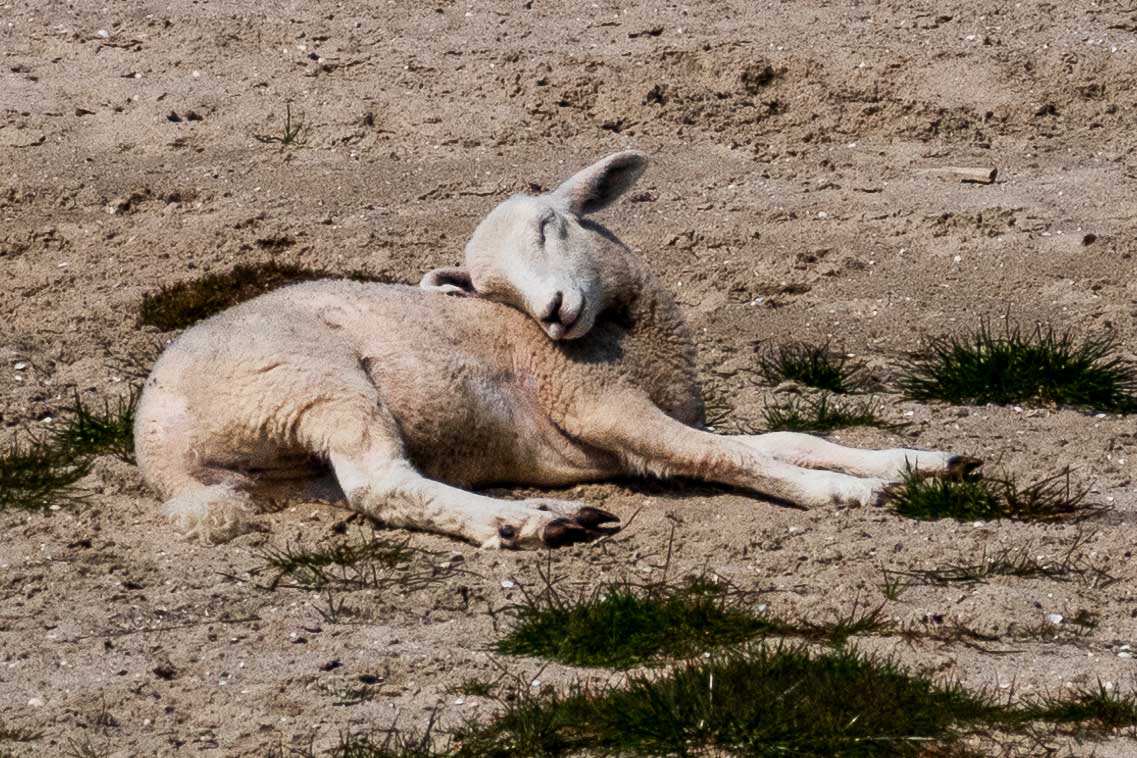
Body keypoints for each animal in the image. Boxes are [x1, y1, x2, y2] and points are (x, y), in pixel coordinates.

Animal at [134, 151, 980, 548]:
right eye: (492, 289)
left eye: (550, 224)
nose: (552, 312)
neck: (629, 342)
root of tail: (156, 438)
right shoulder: (606, 412)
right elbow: (729, 457)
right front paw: (840, 493)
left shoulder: (660, 414)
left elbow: (788, 436)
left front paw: (923, 462)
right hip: (316, 385)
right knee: (382, 487)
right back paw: (525, 528)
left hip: (292, 468)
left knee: (374, 489)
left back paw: (551, 512)